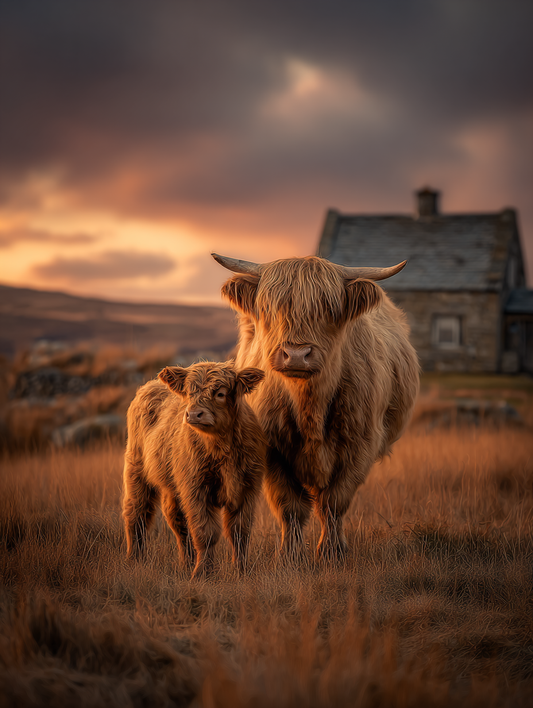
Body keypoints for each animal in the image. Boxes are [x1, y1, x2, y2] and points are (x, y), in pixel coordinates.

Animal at [122, 361, 266, 577]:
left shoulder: (247, 488)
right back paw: (134, 559)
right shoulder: (195, 489)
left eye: (220, 393)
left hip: (173, 487)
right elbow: (205, 533)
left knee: (177, 521)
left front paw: (241, 570)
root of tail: (150, 385)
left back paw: (186, 563)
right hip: (136, 471)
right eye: (190, 393)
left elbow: (239, 531)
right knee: (136, 513)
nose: (193, 414)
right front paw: (202, 573)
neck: (221, 447)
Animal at [212, 253, 420, 560]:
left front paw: (332, 552)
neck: (309, 407)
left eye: (329, 309)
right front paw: (290, 555)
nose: (296, 354)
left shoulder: (359, 446)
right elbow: (290, 506)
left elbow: (334, 502)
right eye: (270, 308)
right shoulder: (272, 451)